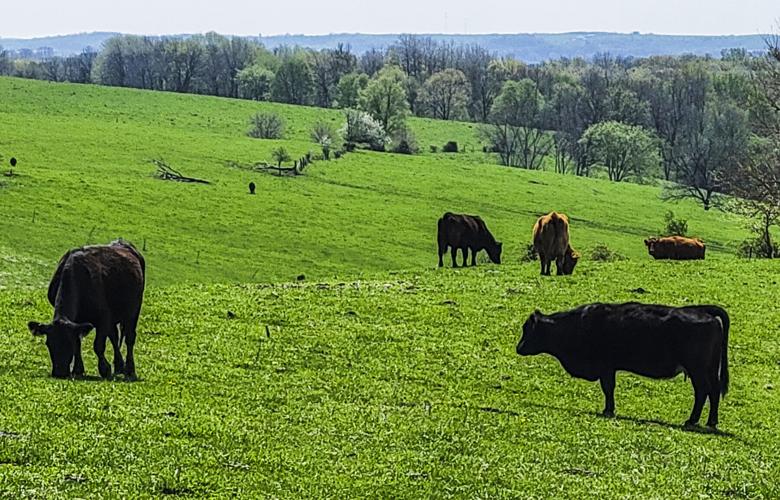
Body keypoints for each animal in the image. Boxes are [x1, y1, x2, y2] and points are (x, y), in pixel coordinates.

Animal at [28, 240, 145, 380]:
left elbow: (98, 345)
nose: (60, 373)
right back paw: (119, 367)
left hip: (134, 310)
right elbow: (79, 342)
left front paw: (105, 369)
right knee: (114, 337)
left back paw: (130, 370)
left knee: (129, 338)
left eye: (68, 344)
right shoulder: (79, 322)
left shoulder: (104, 317)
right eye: (48, 344)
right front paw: (78, 370)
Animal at [515, 302, 730, 429]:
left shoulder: (605, 367)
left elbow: (608, 388)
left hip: (697, 369)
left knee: (703, 391)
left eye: (527, 329)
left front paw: (608, 410)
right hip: (710, 369)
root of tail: (703, 311)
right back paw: (711, 421)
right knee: (714, 391)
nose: (518, 348)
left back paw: (692, 420)